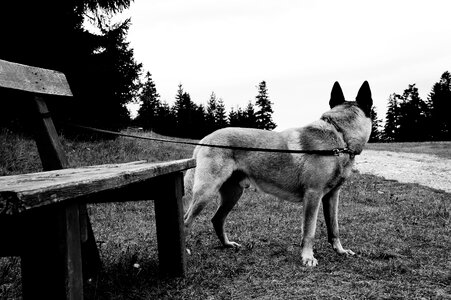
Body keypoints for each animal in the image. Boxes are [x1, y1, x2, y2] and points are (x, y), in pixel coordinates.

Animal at [182, 81, 372, 266]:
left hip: (233, 194)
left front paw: (340, 251)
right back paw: (184, 250)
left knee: (217, 219)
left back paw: (227, 244)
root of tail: (205, 139)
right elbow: (309, 231)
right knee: (186, 221)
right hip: (207, 192)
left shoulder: (332, 196)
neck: (340, 135)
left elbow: (334, 228)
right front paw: (307, 257)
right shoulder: (313, 195)